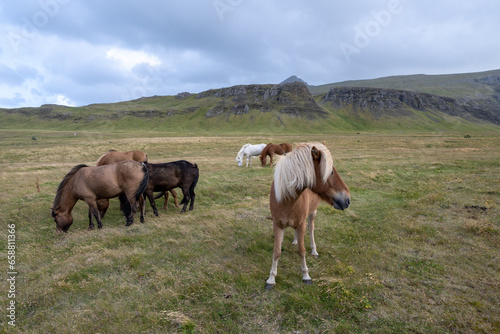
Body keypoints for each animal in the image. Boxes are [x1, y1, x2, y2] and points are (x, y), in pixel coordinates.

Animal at [264, 142, 350, 288]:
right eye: (331, 172)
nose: (347, 200)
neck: (287, 200)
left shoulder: (301, 224)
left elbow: (302, 250)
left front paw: (306, 275)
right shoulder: (278, 225)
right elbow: (276, 252)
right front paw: (271, 279)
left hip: (312, 214)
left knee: (311, 230)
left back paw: (314, 251)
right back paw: (295, 240)